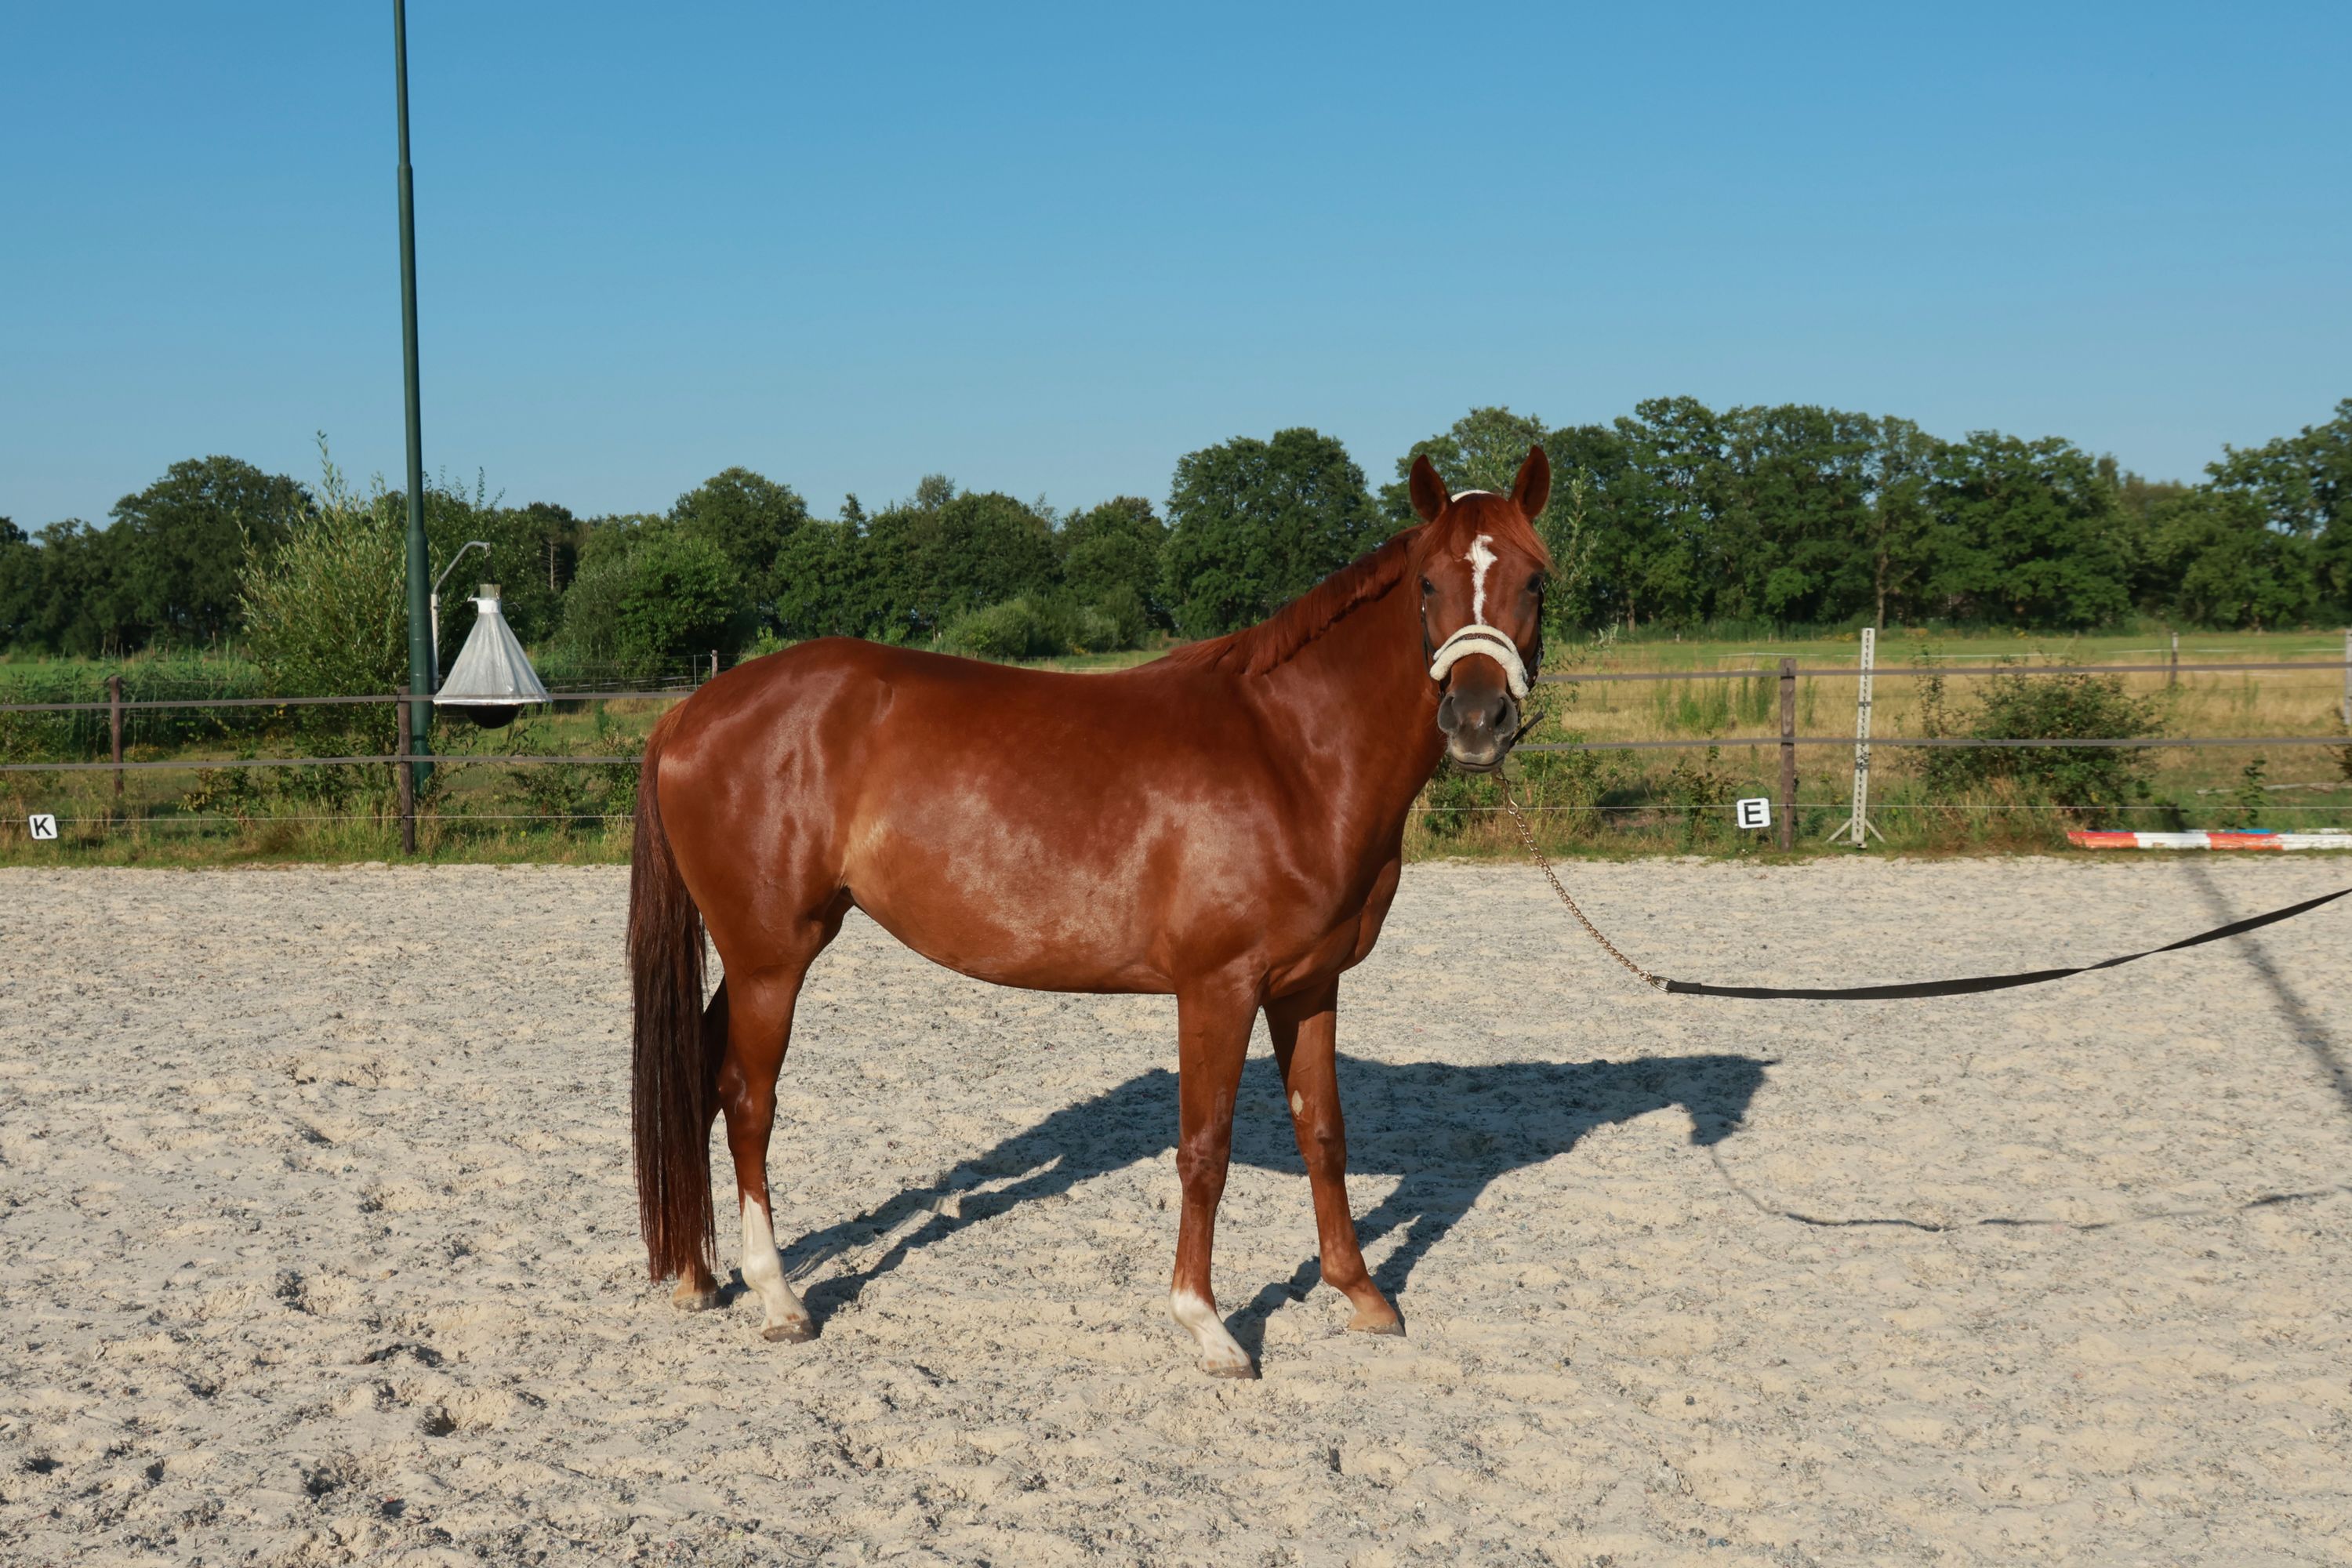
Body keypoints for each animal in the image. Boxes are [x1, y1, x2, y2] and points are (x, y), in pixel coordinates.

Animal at [630, 446, 1553, 1377]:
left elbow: (1323, 1130)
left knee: (700, 1079)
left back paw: (699, 1278)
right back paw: (778, 1296)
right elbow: (1205, 1149)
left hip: (758, 955)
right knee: (747, 1098)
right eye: (1429, 583)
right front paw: (1207, 1324)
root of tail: (693, 708)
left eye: (1535, 581)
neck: (1291, 752)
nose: (1478, 719)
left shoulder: (1309, 984)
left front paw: (1360, 1294)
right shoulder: (1218, 988)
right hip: (770, 959)